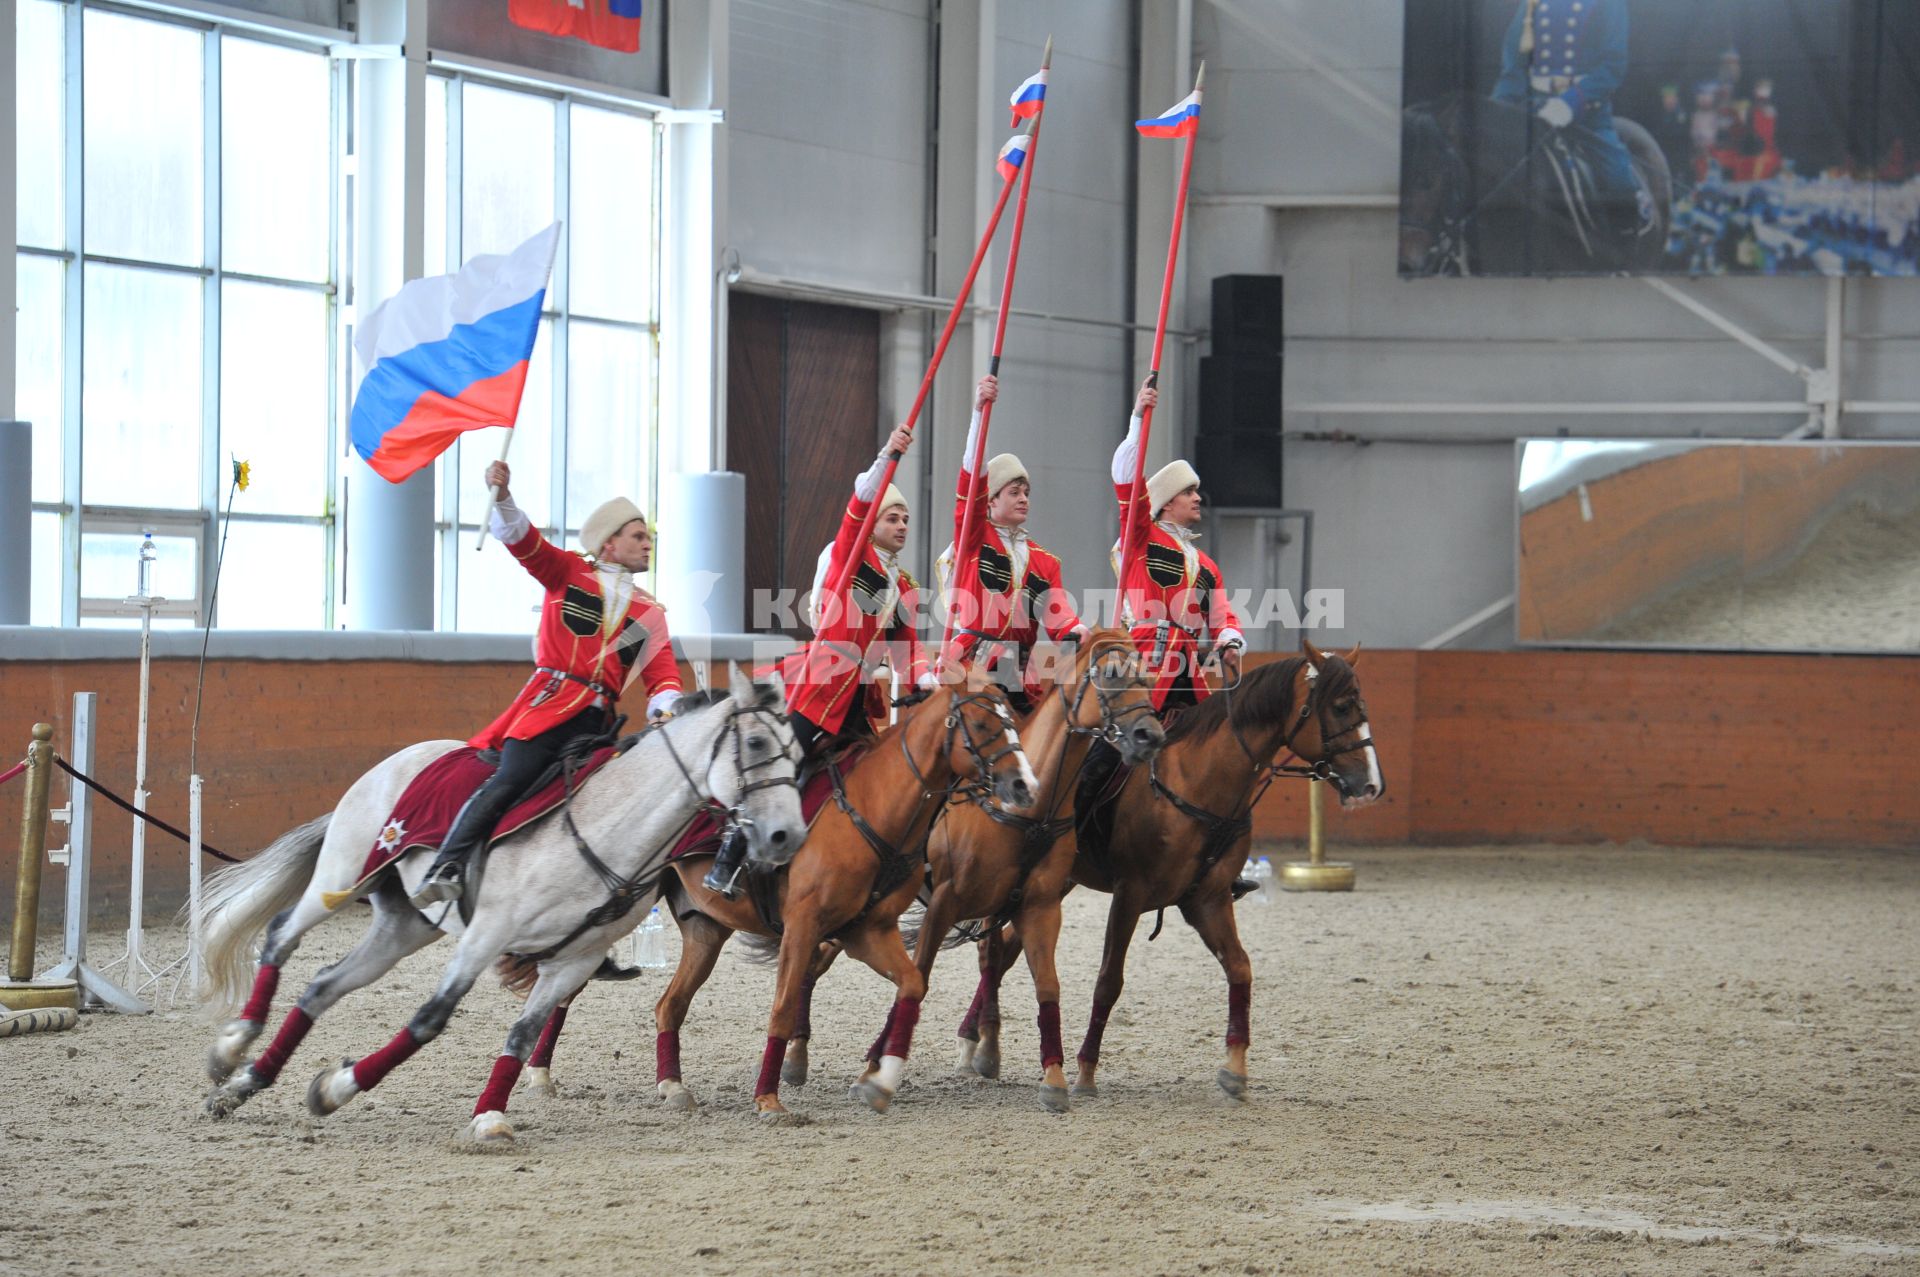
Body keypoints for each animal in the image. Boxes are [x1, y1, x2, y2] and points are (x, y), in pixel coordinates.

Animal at [200, 672, 810, 1136]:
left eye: (800, 752)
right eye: (757, 745)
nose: (786, 837)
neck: (604, 829)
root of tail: (395, 762)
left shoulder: (573, 962)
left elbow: (520, 1037)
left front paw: (489, 1115)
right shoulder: (485, 934)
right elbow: (429, 1020)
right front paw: (339, 1086)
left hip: (404, 925)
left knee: (322, 985)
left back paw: (244, 1084)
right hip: (343, 875)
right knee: (281, 934)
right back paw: (232, 1048)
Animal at [652, 660, 1036, 1121]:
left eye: (1011, 719)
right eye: (980, 723)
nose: (1023, 785)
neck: (873, 808)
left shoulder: (868, 931)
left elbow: (913, 985)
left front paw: (879, 1081)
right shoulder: (802, 926)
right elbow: (782, 1008)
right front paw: (768, 1097)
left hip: (704, 928)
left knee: (670, 1004)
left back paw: (673, 1085)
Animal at [779, 626, 1167, 1106]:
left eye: (1148, 675)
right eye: (1111, 675)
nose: (1150, 734)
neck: (1027, 810)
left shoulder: (1040, 906)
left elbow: (1045, 984)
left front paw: (1053, 1077)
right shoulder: (944, 903)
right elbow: (921, 976)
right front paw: (875, 1065)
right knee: (814, 961)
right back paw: (796, 1054)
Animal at [960, 641, 1382, 1098]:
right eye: (1341, 706)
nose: (1372, 785)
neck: (1198, 780)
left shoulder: (1207, 900)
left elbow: (1240, 968)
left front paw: (1235, 1068)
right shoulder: (1129, 896)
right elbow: (1109, 981)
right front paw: (1086, 1071)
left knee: (1003, 951)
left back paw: (975, 1038)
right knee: (991, 950)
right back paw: (983, 1044)